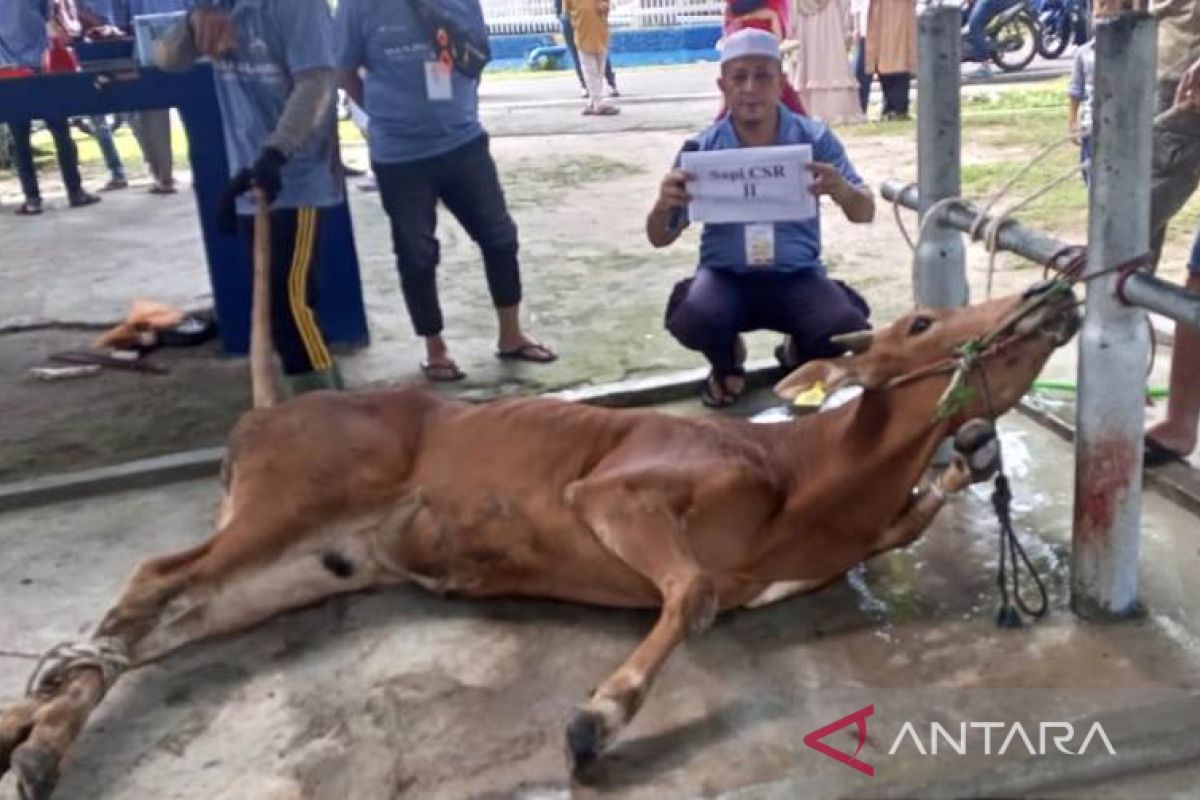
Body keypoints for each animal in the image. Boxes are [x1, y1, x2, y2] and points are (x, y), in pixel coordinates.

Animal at [0, 280, 1084, 796]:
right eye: (922, 318)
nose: (1055, 289)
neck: (805, 482)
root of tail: (268, 412)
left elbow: (916, 506)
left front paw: (969, 461)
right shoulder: (614, 489)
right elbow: (693, 593)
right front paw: (595, 718)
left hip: (302, 566)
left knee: (155, 626)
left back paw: (32, 729)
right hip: (283, 504)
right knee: (152, 577)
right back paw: (41, 733)